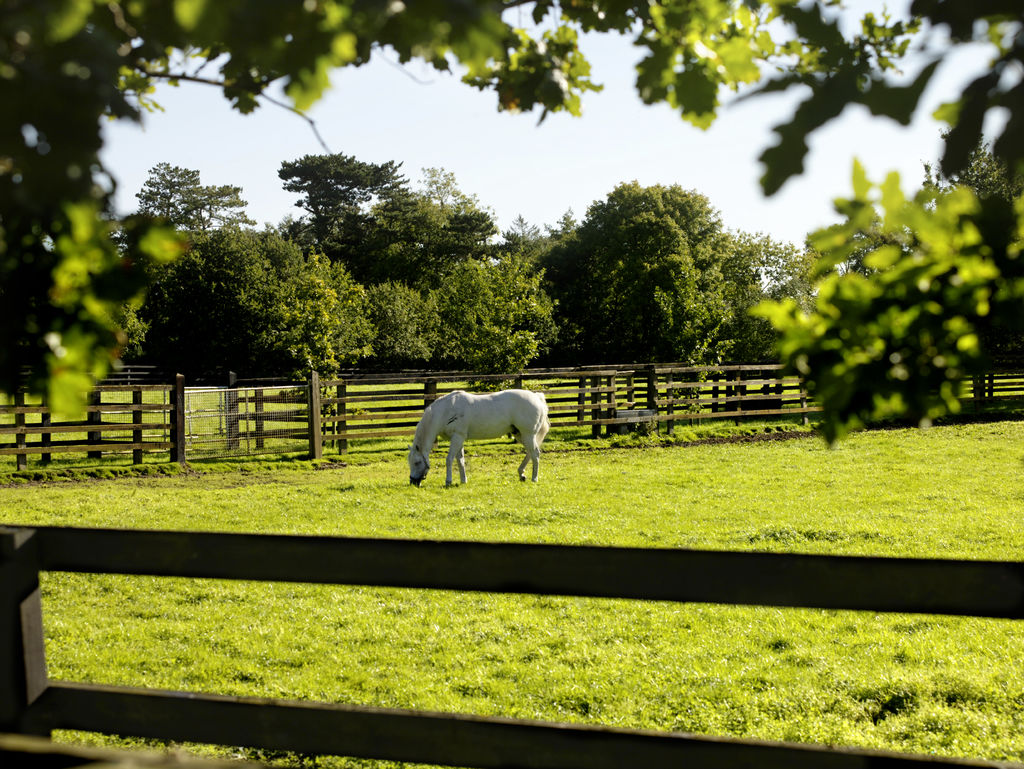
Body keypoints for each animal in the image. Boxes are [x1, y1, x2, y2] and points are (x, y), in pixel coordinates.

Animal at [409, 391, 552, 487]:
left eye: (417, 462)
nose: (413, 482)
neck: (446, 411)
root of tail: (537, 397)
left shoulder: (457, 437)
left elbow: (449, 459)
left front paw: (448, 481)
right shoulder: (459, 439)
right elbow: (460, 460)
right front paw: (463, 480)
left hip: (528, 434)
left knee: (535, 454)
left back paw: (534, 478)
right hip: (520, 434)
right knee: (530, 453)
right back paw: (521, 474)